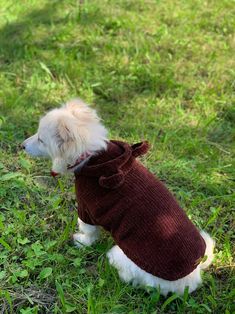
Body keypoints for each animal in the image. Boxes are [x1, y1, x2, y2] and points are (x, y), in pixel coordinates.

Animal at [22, 98, 215, 296]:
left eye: (41, 139)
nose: (21, 145)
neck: (94, 157)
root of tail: (193, 275)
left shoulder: (86, 209)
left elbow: (89, 232)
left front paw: (82, 242)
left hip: (122, 256)